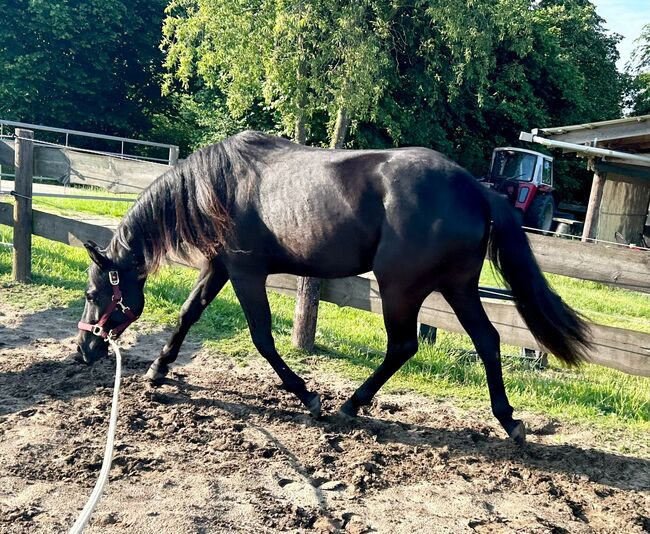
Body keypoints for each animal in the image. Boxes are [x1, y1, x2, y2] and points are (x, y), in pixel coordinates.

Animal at [74, 133, 588, 444]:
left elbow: (262, 337)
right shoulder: (220, 266)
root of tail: (480, 190)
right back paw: (509, 420)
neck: (218, 185)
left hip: (400, 288)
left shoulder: (245, 273)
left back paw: (350, 404)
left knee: (403, 345)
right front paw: (158, 370)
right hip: (457, 287)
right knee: (488, 340)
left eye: (92, 294)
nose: (83, 350)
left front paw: (308, 396)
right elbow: (188, 313)